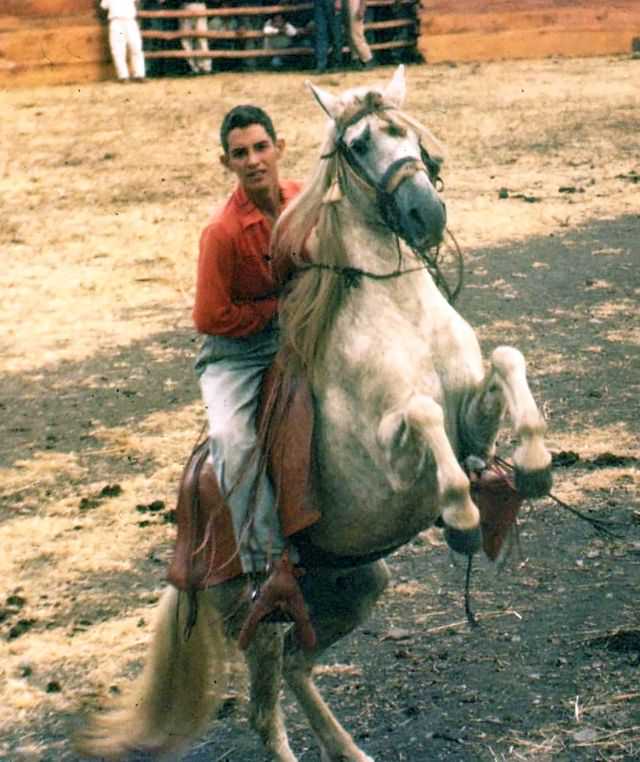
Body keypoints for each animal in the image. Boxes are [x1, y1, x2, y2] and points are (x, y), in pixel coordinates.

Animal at [77, 67, 552, 760]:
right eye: (358, 144)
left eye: (409, 133)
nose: (426, 212)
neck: (399, 309)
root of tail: (187, 545)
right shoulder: (386, 462)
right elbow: (420, 413)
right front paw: (464, 516)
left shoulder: (472, 418)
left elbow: (508, 361)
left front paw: (536, 466)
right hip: (259, 617)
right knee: (262, 707)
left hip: (355, 587)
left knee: (300, 671)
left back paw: (349, 750)